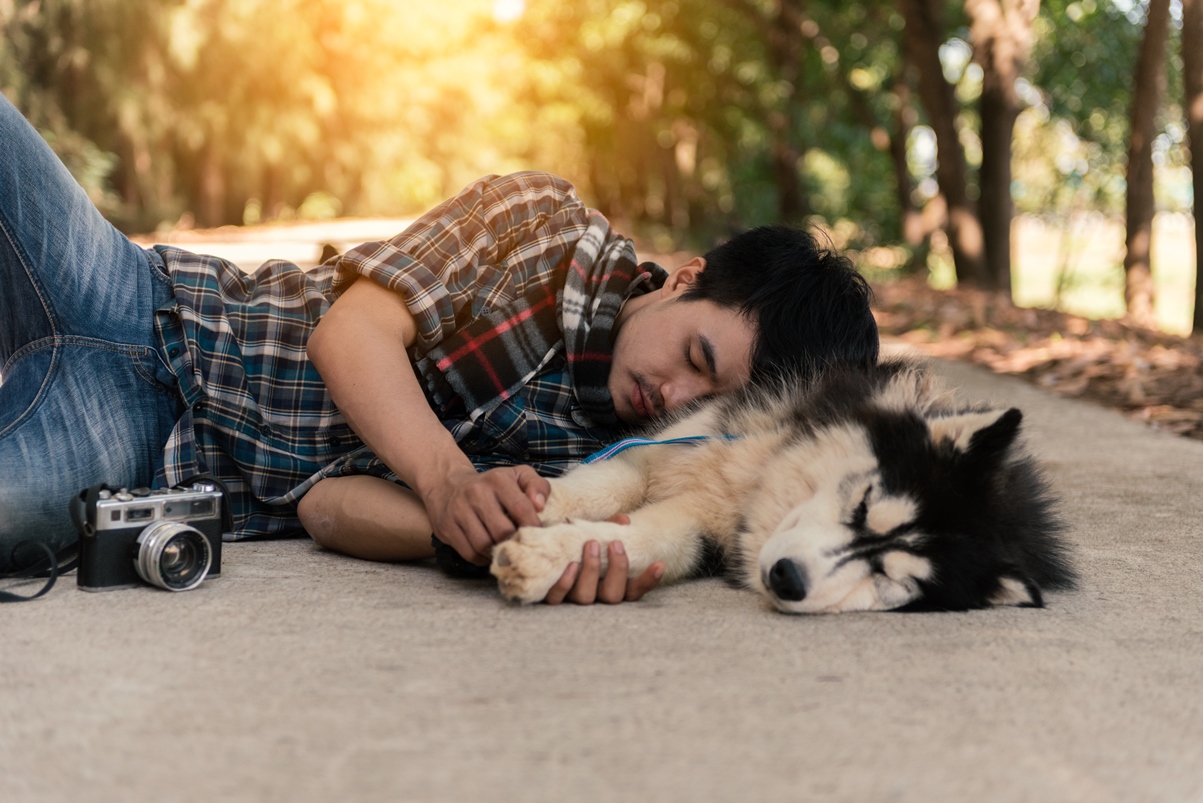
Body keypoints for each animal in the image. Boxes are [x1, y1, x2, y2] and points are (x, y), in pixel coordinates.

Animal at [493, 361, 1077, 611]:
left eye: (891, 579)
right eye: (864, 506)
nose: (787, 578)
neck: (752, 489)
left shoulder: (703, 536)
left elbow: (644, 537)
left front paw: (548, 557)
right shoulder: (670, 445)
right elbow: (603, 480)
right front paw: (534, 502)